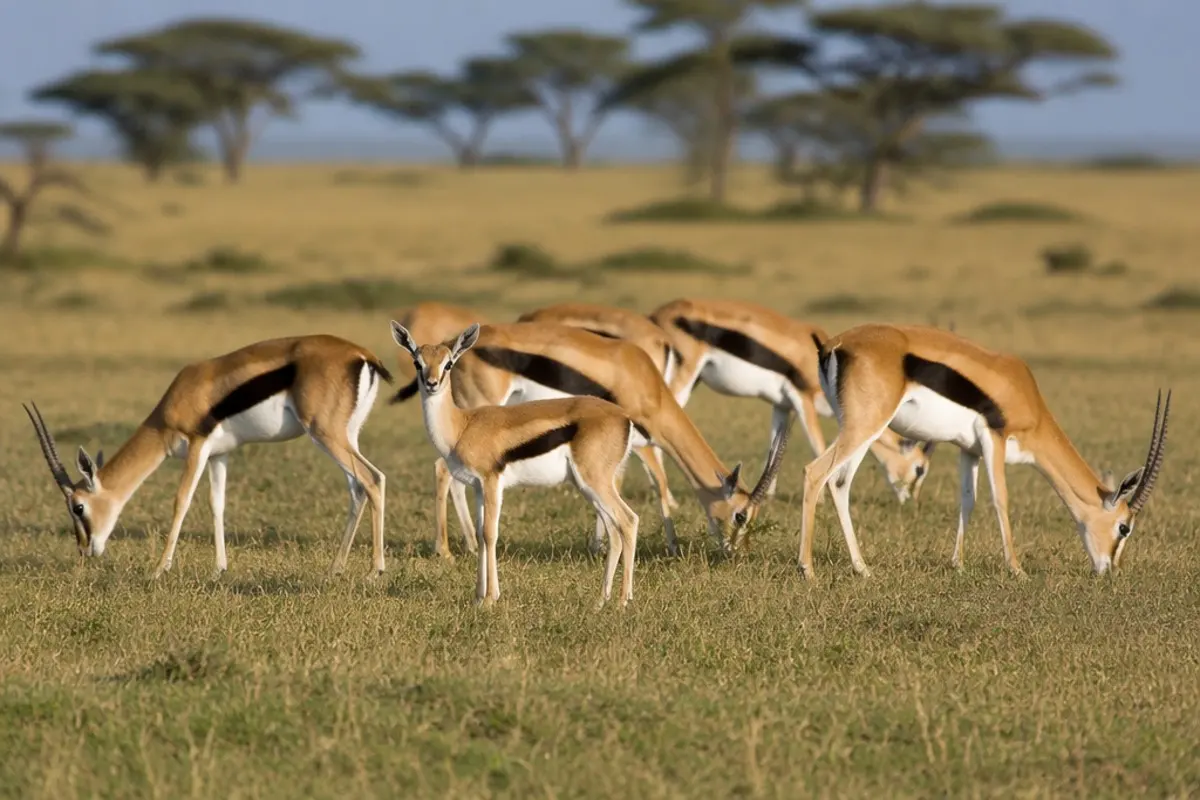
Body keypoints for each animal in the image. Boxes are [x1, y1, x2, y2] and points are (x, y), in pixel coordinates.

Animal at [24, 335, 393, 578]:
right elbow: (217, 505)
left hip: (326, 435)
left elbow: (181, 501)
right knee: (357, 489)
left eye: (78, 507)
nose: (86, 550)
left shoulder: (198, 445)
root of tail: (363, 355)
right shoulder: (221, 455)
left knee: (373, 479)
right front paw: (220, 569)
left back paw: (375, 570)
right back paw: (336, 568)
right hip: (346, 436)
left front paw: (159, 570)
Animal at [389, 321, 790, 559]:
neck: (642, 378)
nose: (737, 553)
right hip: (480, 409)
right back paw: (446, 550)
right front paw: (612, 547)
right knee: (443, 469)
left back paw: (470, 544)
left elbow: (646, 483)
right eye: (740, 515)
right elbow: (651, 479)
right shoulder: (638, 435)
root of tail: (455, 342)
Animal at [392, 321, 646, 607]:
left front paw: (491, 598)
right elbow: (480, 534)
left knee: (629, 521)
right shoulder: (478, 488)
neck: (462, 426)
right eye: (418, 362)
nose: (432, 384)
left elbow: (490, 534)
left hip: (595, 482)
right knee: (614, 531)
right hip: (588, 487)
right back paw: (601, 601)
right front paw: (478, 597)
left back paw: (623, 600)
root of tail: (624, 417)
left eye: (448, 364)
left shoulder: (492, 482)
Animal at [648, 298, 934, 503]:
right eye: (920, 469)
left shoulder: (782, 406)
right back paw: (667, 498)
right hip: (683, 377)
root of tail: (656, 316)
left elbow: (773, 449)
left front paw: (768, 497)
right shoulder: (803, 400)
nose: (911, 501)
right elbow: (818, 446)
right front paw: (823, 500)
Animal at [798, 323, 1170, 579]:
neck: (1025, 395)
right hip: (865, 426)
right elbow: (1000, 499)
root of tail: (834, 345)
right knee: (815, 472)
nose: (1110, 570)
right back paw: (808, 570)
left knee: (840, 483)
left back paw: (862, 568)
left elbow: (968, 500)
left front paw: (958, 564)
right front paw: (1017, 570)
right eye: (1124, 528)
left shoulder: (969, 451)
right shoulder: (995, 437)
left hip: (858, 428)